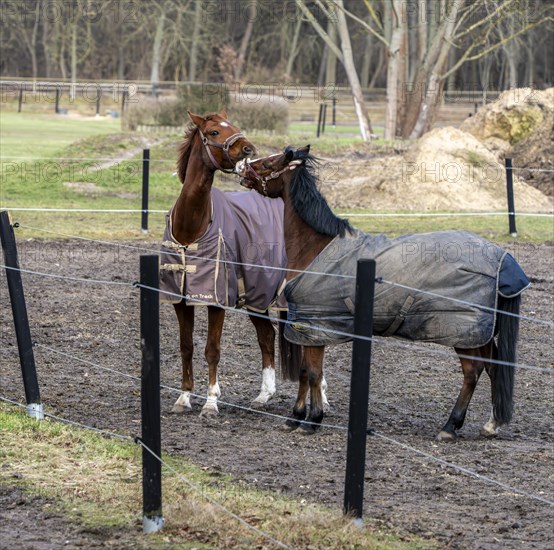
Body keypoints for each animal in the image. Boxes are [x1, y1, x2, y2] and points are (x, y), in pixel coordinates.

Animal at [160, 114, 288, 420]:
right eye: (214, 131)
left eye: (234, 125)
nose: (248, 148)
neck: (191, 228)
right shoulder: (180, 300)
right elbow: (186, 346)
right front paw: (183, 398)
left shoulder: (217, 300)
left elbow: (212, 350)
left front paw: (210, 403)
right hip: (258, 297)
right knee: (267, 337)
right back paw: (263, 396)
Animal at [235, 148, 528, 444]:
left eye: (268, 163)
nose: (242, 168)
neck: (315, 246)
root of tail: (504, 259)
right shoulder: (307, 329)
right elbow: (305, 373)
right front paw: (295, 417)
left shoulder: (314, 327)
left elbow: (314, 374)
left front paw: (312, 420)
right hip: (481, 334)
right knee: (493, 368)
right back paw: (491, 424)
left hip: (464, 335)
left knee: (472, 373)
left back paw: (450, 426)